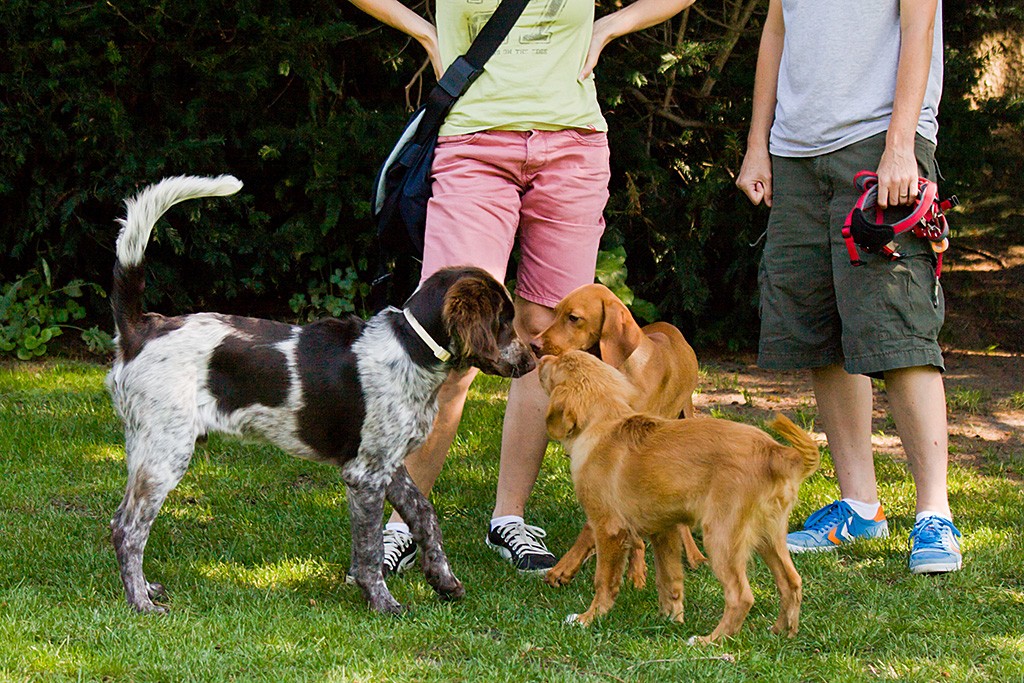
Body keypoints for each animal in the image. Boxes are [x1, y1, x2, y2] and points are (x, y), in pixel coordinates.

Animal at [105, 176, 536, 614]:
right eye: (504, 321)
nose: (533, 359)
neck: (412, 348)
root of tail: (143, 327)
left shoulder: (388, 462)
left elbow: (424, 514)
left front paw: (444, 581)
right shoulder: (364, 475)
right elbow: (369, 551)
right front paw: (383, 602)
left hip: (143, 446)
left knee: (123, 519)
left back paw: (148, 588)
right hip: (166, 451)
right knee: (127, 528)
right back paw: (141, 602)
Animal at [540, 352, 819, 647]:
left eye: (554, 364)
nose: (540, 356)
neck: (604, 422)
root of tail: (775, 452)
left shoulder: (608, 529)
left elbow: (604, 581)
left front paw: (588, 618)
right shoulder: (665, 529)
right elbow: (669, 579)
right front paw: (670, 619)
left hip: (722, 535)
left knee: (741, 596)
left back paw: (710, 640)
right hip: (769, 533)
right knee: (791, 581)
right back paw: (782, 632)